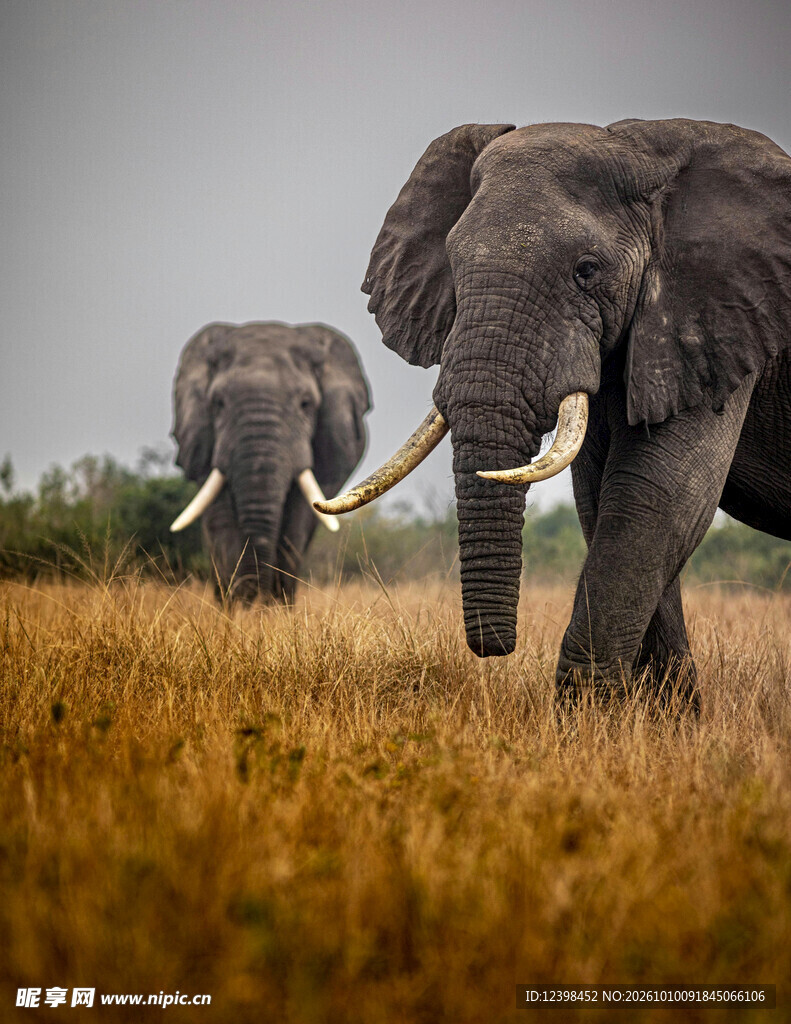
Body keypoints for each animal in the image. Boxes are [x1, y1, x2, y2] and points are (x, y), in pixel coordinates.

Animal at [170, 321, 370, 602]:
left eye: (306, 404)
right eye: (218, 403)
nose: (256, 599)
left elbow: (298, 519)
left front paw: (275, 608)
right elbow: (220, 518)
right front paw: (237, 608)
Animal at [318, 118, 791, 704]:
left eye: (587, 271)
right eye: (452, 265)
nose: (496, 649)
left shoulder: (717, 317)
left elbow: (658, 493)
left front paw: (588, 713)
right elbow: (603, 498)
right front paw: (658, 717)